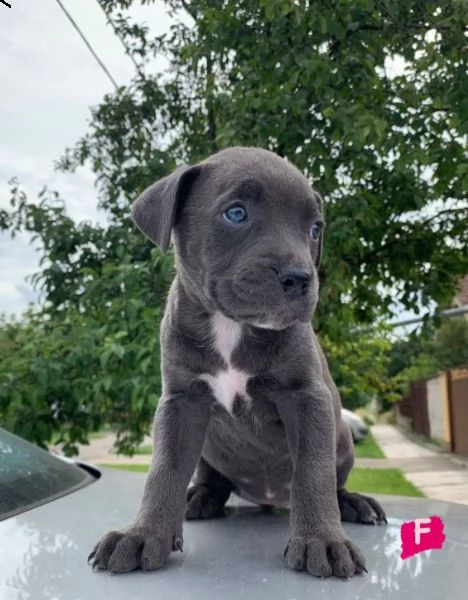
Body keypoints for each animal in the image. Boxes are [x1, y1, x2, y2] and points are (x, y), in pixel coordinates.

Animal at [89, 145, 386, 576]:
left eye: (315, 229)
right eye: (235, 213)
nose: (300, 277)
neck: (232, 326)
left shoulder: (307, 397)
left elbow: (313, 471)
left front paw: (323, 542)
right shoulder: (180, 402)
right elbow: (164, 468)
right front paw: (142, 535)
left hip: (343, 439)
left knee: (335, 481)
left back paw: (354, 502)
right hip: (210, 450)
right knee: (214, 481)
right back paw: (199, 496)